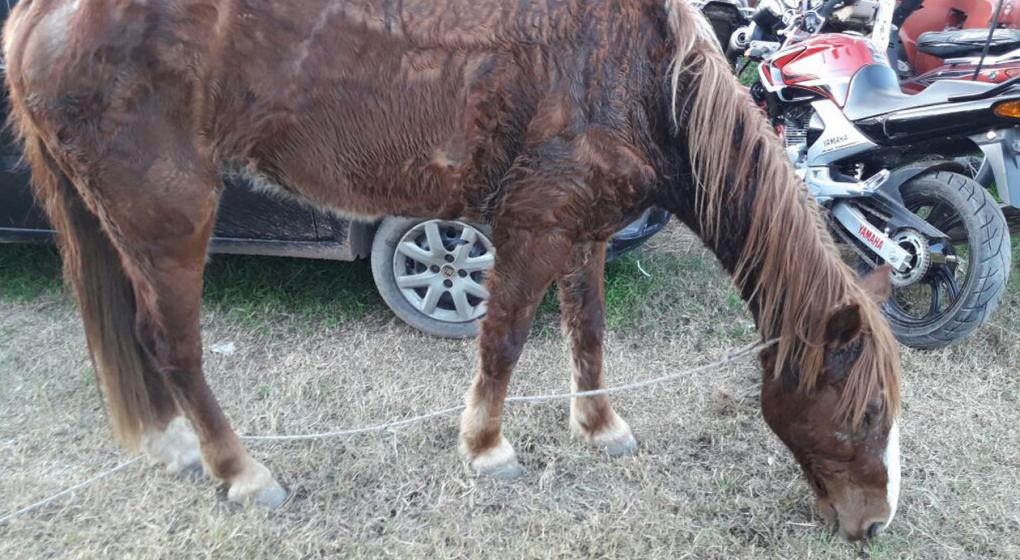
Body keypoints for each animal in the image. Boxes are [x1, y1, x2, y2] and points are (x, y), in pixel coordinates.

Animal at [3, 0, 902, 540]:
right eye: (864, 416)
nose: (871, 525)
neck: (640, 74)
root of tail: (42, 17)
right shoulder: (531, 227)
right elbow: (502, 343)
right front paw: (487, 449)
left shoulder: (586, 231)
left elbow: (588, 334)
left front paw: (599, 426)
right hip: (171, 210)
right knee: (171, 343)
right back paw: (242, 473)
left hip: (115, 214)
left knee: (128, 329)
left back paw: (172, 446)